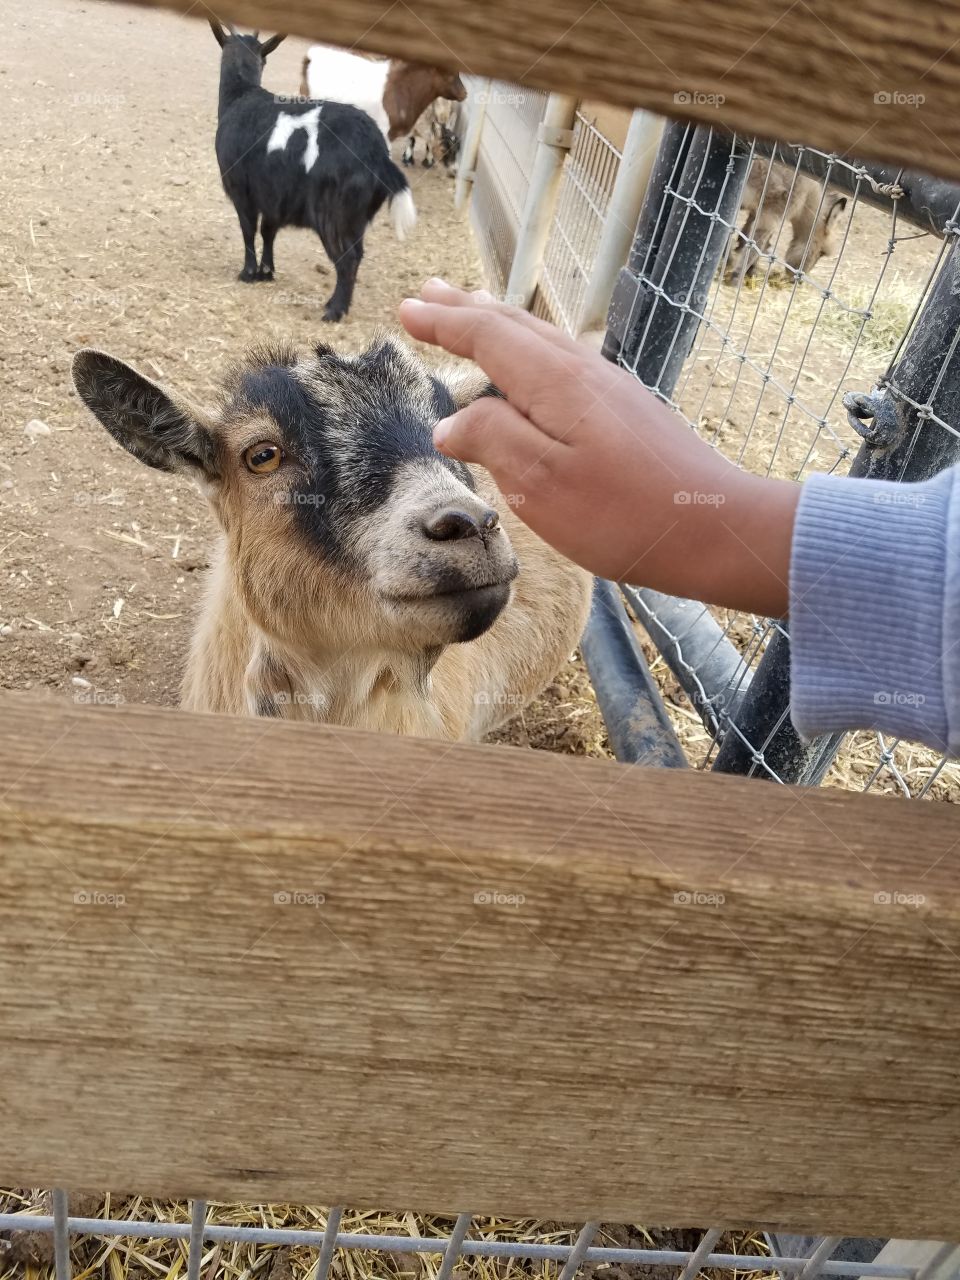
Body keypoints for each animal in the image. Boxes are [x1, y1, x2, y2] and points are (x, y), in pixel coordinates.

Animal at [210, 22, 416, 322]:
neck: (241, 94)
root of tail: (378, 157)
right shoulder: (273, 197)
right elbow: (268, 231)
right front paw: (266, 272)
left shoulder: (242, 191)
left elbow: (248, 229)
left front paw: (247, 273)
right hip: (356, 217)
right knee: (357, 254)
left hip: (333, 213)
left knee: (347, 258)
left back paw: (334, 310)